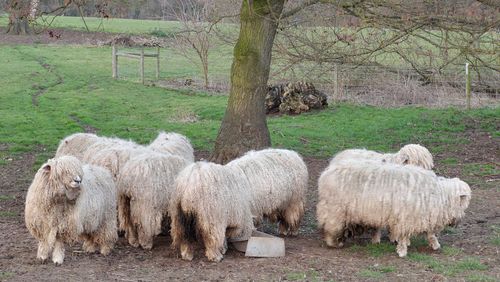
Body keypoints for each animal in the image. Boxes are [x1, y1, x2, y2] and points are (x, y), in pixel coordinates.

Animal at [318, 160, 470, 256]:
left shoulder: (423, 215)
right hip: (335, 210)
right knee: (331, 227)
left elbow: (430, 233)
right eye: (463, 203)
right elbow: (404, 235)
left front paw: (434, 244)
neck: (438, 195)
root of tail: (327, 173)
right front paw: (402, 250)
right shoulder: (406, 217)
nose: (458, 222)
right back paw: (334, 243)